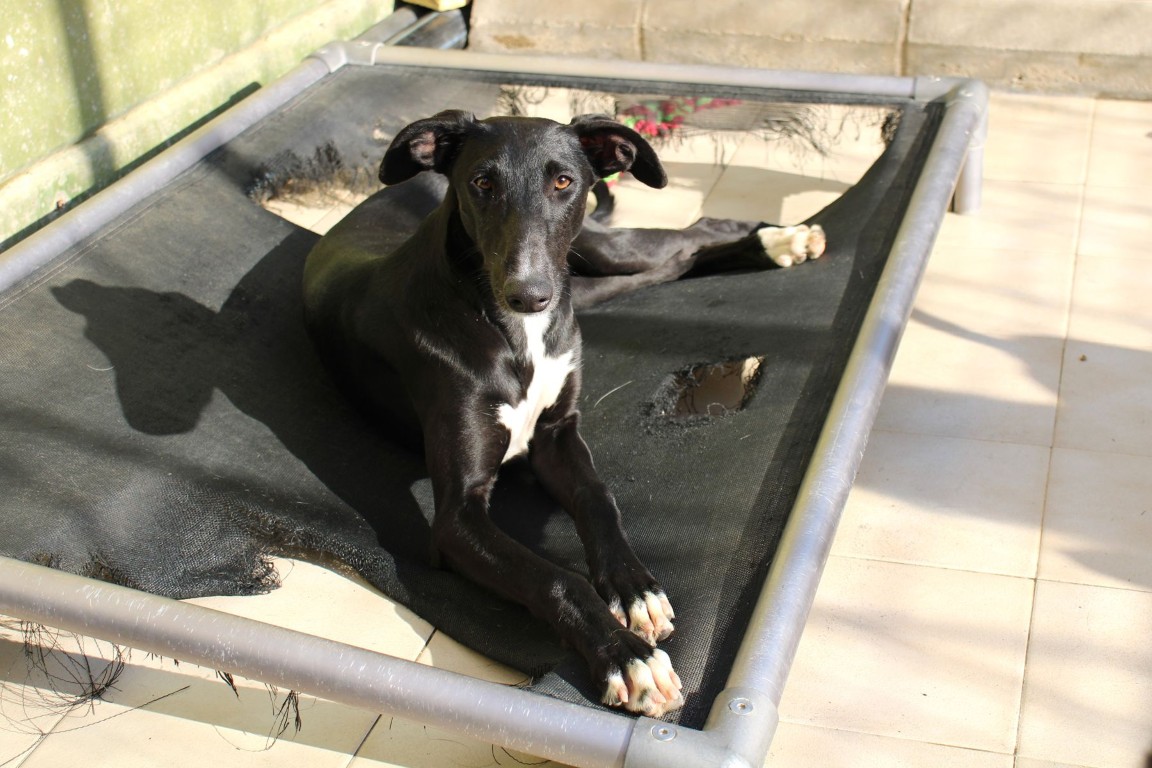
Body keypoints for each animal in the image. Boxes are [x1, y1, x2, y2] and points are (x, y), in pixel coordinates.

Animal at [303, 110, 826, 716]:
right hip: (587, 277)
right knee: (674, 261)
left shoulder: (556, 434)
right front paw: (626, 655)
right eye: (481, 182)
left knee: (692, 234)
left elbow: (599, 497)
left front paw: (634, 588)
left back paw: (781, 239)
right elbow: (555, 577)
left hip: (595, 251)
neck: (513, 332)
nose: (528, 294)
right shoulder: (458, 517)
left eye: (563, 181)